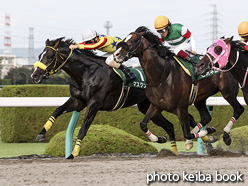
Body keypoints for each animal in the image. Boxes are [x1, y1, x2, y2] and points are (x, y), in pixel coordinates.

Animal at [31, 37, 194, 158]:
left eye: (49, 57)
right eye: (39, 56)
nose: (35, 76)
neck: (86, 72)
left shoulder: (94, 104)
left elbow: (83, 128)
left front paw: (74, 152)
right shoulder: (78, 101)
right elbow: (57, 110)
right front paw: (41, 134)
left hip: (164, 104)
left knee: (183, 118)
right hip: (148, 107)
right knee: (170, 126)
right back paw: (166, 145)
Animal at [113, 26, 244, 147]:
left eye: (133, 40)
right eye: (124, 39)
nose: (116, 54)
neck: (162, 75)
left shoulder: (181, 107)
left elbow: (187, 133)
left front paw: (207, 133)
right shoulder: (156, 105)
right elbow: (143, 124)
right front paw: (158, 139)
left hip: (227, 92)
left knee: (239, 109)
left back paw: (226, 136)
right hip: (200, 98)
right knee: (206, 117)